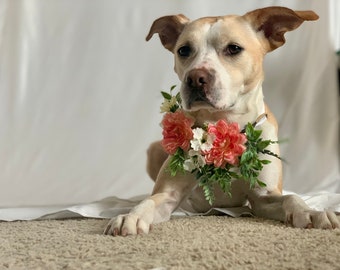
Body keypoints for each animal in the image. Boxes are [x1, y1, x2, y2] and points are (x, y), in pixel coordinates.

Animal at [103, 5, 340, 235]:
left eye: (233, 48)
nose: (195, 78)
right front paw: (131, 216)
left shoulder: (264, 197)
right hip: (154, 149)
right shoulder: (168, 194)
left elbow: (291, 197)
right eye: (184, 50)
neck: (223, 125)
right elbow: (148, 202)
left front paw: (311, 212)